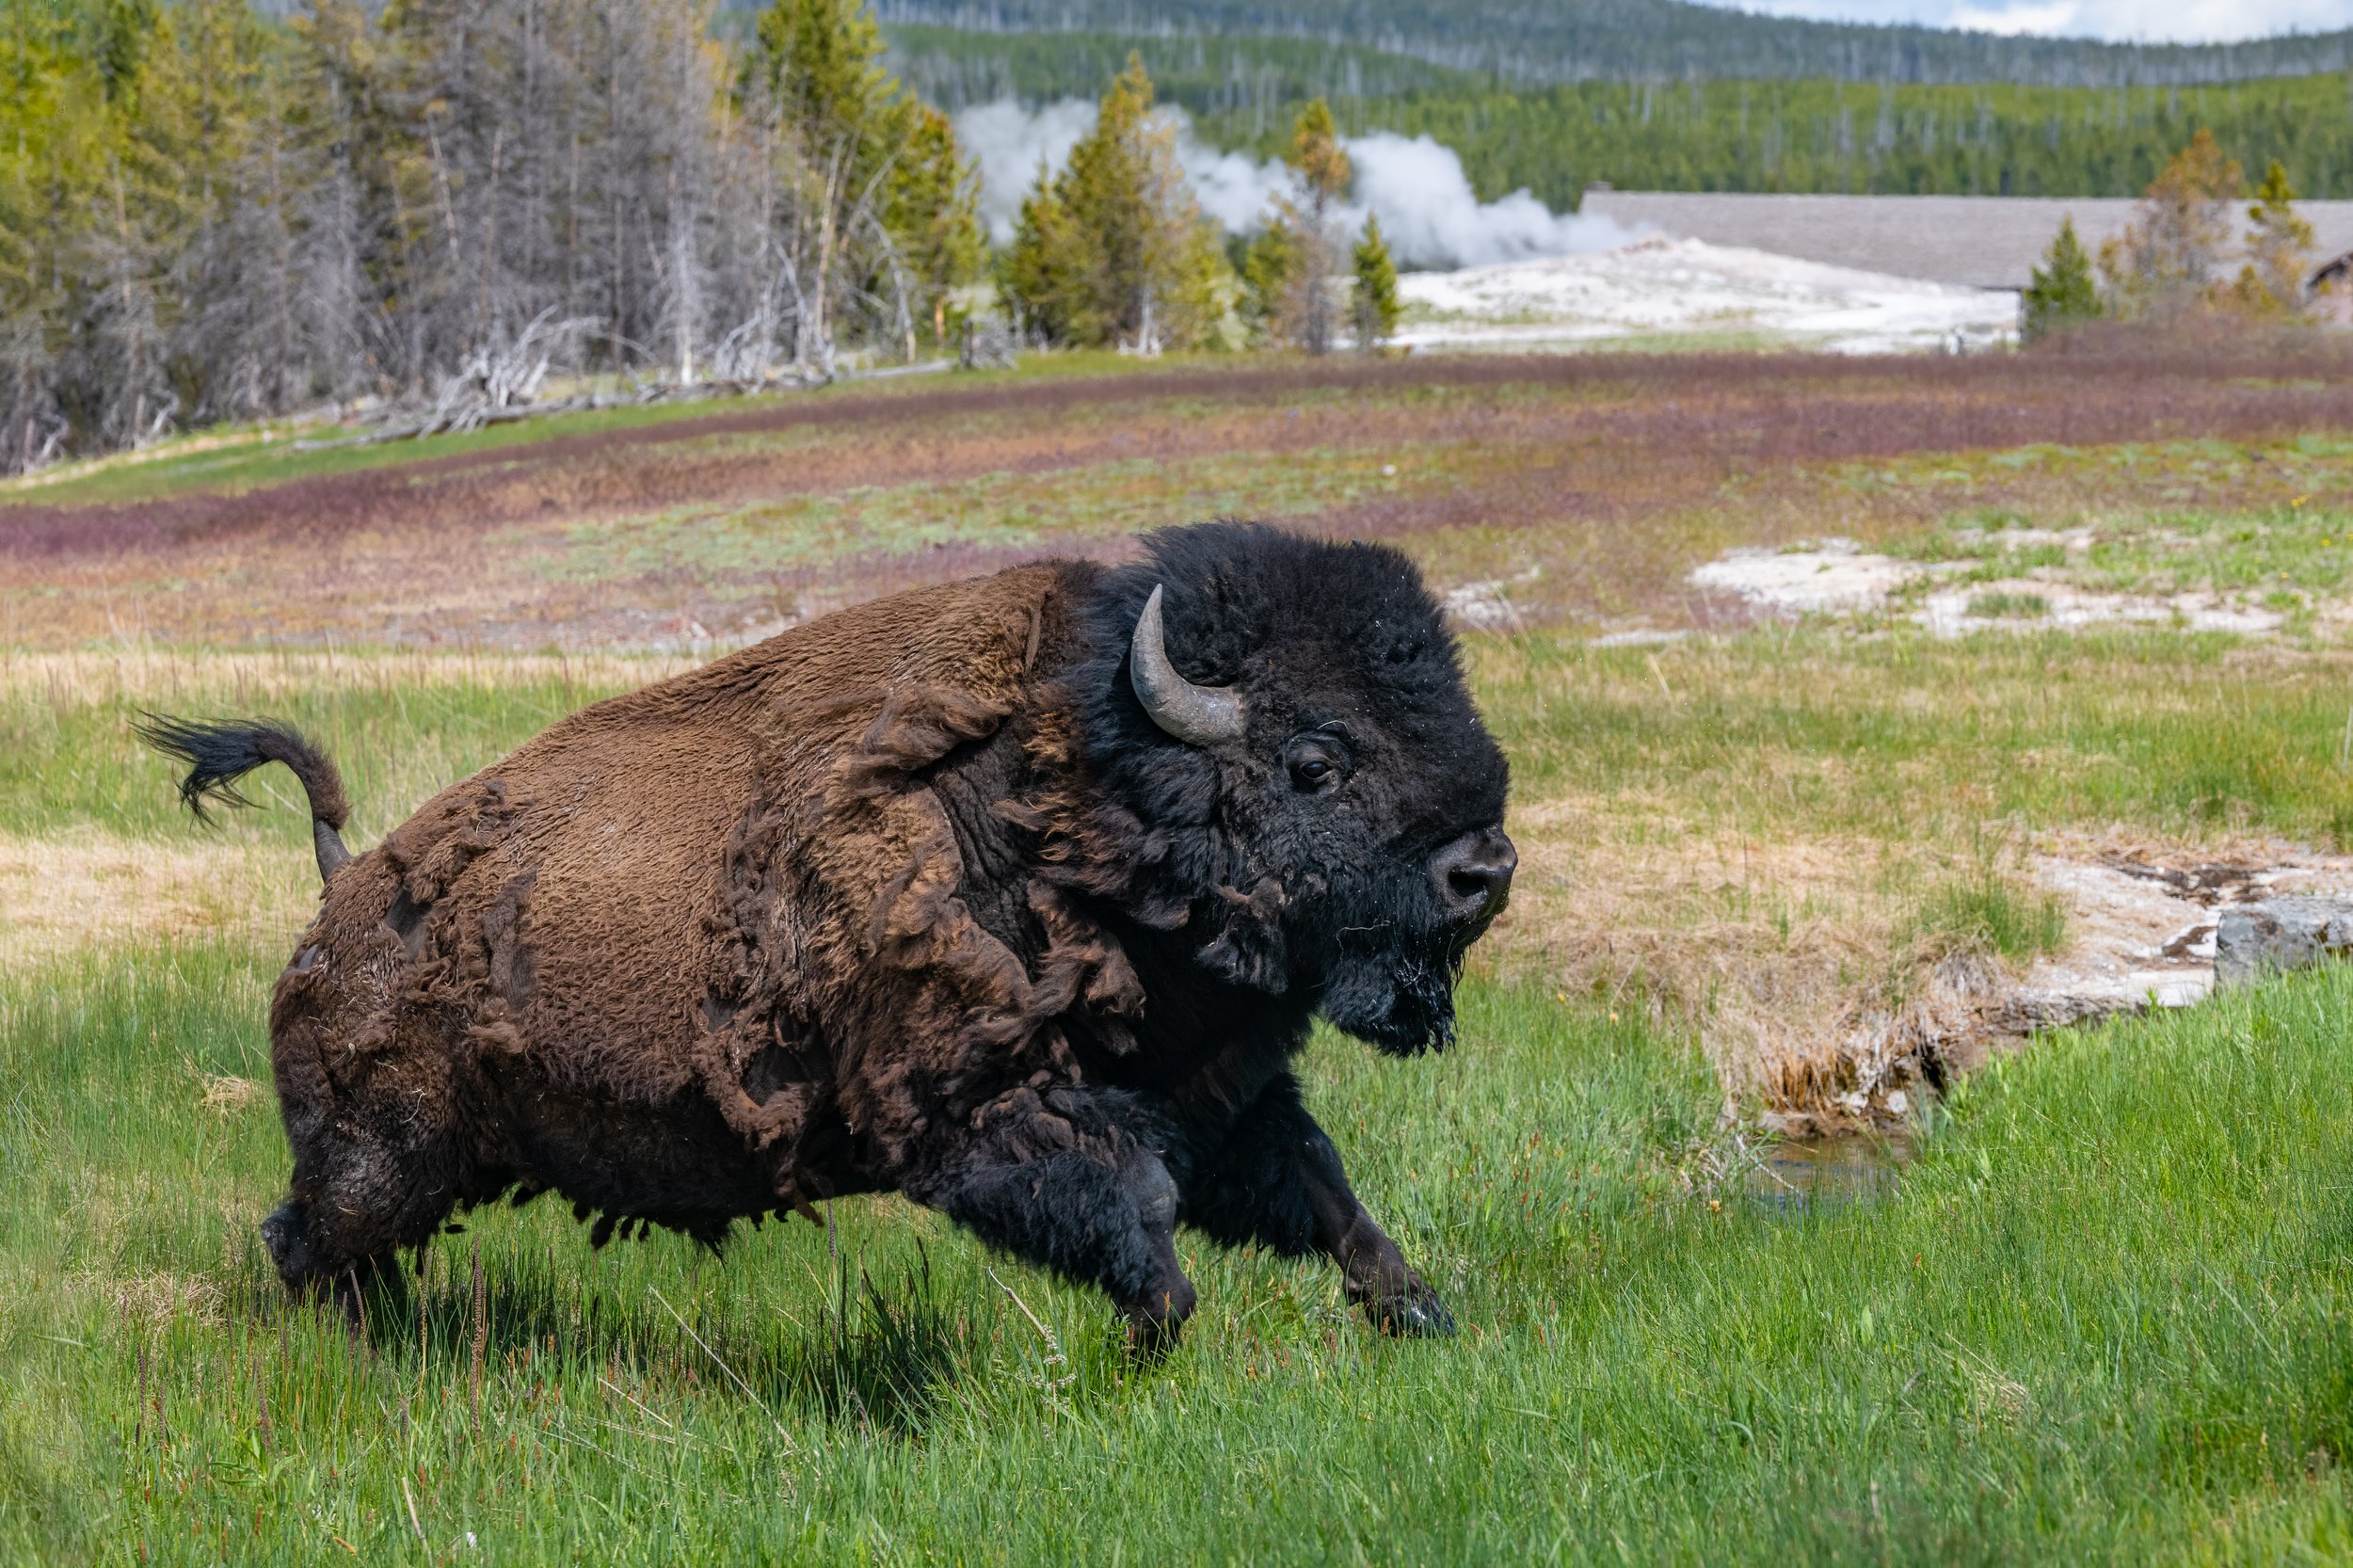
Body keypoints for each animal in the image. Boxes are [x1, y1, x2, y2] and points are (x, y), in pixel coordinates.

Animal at [143, 522, 1514, 1351]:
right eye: (1315, 757)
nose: (1484, 866)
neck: (1070, 791)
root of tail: (343, 890)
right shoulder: (983, 1115)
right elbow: (1135, 1215)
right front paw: (1151, 1338)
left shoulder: (1219, 1096)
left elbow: (1326, 1198)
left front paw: (1423, 1314)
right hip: (375, 1161)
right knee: (302, 1242)